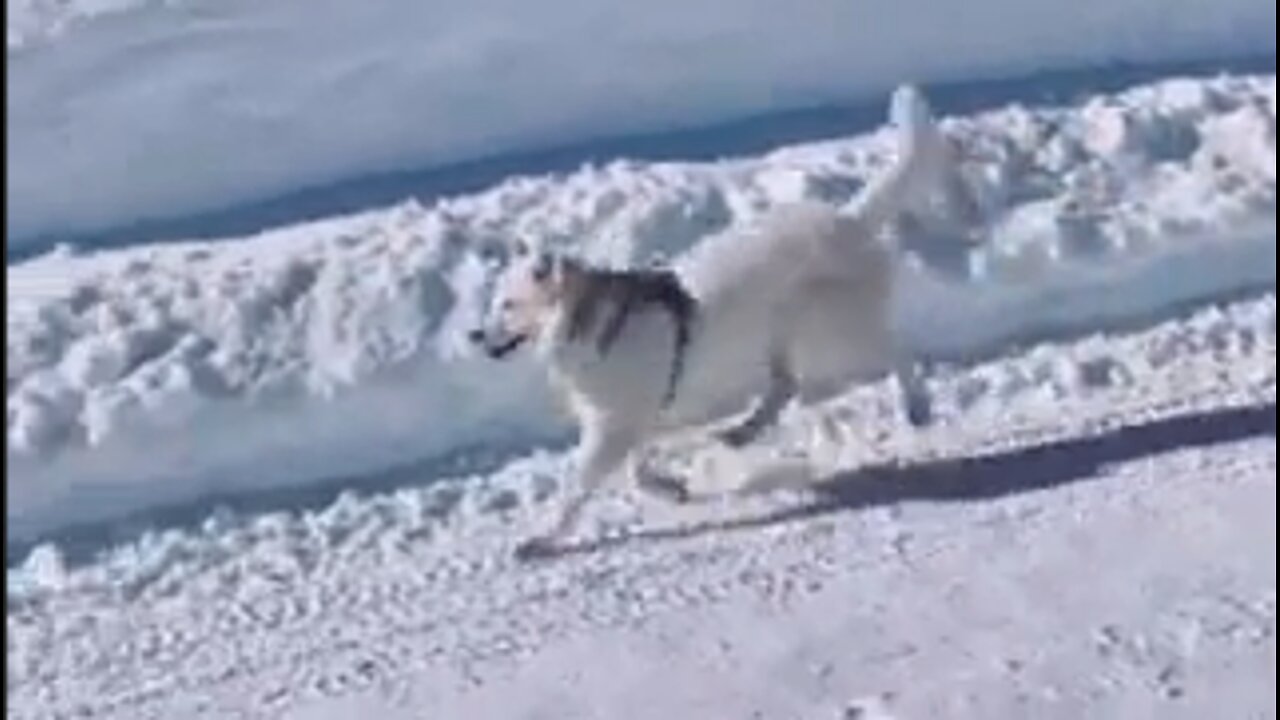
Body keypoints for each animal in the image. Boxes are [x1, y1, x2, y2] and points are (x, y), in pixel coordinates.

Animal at [476, 83, 962, 556]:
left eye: (508, 305)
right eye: (494, 302)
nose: (474, 334)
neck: (594, 324)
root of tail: (849, 218)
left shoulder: (611, 428)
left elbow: (577, 488)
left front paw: (541, 538)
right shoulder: (626, 422)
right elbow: (635, 471)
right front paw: (667, 487)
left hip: (825, 324)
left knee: (895, 350)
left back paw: (917, 405)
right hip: (785, 336)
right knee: (785, 386)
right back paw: (742, 432)